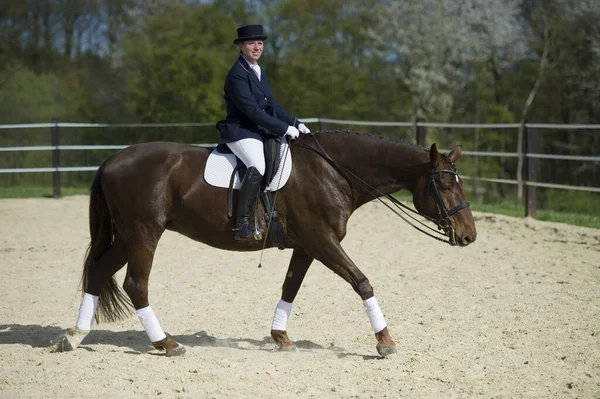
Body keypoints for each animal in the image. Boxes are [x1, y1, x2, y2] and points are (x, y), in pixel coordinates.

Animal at [51, 132, 478, 360]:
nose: (469, 235)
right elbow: (362, 282)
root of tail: (114, 160)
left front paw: (281, 338)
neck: (333, 171)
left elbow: (290, 288)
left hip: (128, 237)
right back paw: (166, 344)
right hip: (143, 234)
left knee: (98, 273)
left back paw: (74, 336)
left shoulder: (308, 246)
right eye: (444, 185)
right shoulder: (323, 242)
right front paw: (385, 342)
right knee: (135, 285)